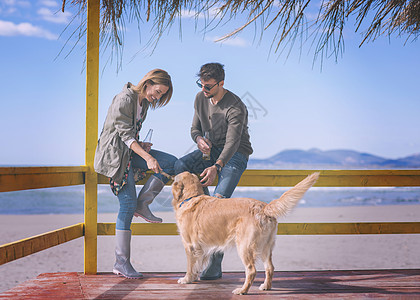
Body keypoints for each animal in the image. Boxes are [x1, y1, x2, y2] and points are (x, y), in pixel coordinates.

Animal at [171, 171, 318, 296]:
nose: (171, 175)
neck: (191, 198)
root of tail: (264, 207)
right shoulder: (201, 249)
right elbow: (197, 264)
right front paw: (194, 277)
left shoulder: (190, 245)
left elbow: (190, 265)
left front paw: (186, 279)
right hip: (265, 246)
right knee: (270, 267)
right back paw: (266, 286)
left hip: (244, 246)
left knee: (251, 270)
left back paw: (242, 290)